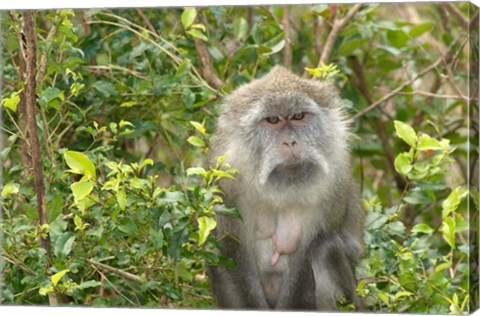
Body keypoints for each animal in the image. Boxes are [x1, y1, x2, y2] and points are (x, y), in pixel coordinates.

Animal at [207, 65, 364, 310]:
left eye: (298, 116)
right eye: (272, 120)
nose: (290, 142)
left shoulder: (334, 180)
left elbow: (303, 261)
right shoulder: (225, 176)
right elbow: (229, 251)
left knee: (325, 248)